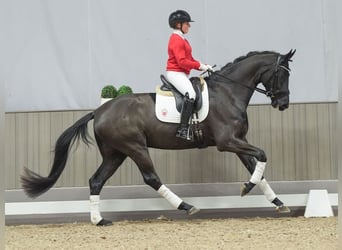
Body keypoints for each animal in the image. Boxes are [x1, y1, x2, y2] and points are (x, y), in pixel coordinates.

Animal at [21, 49, 296, 226]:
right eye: (282, 75)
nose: (283, 104)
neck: (228, 92)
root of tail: (99, 111)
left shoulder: (238, 141)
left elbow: (257, 168)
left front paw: (276, 201)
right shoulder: (227, 142)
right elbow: (262, 155)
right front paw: (247, 188)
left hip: (115, 153)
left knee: (96, 181)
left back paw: (99, 220)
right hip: (135, 147)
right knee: (151, 178)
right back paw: (186, 206)